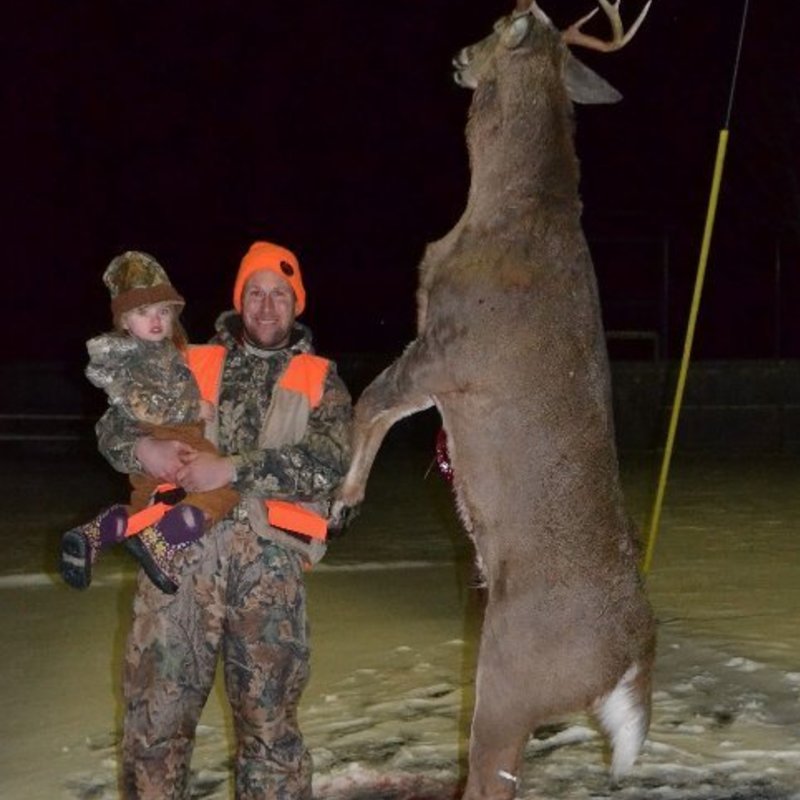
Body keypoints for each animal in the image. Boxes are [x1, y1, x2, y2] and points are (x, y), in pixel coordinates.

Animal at [331, 2, 656, 797]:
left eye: (503, 17)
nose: (455, 55)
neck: (504, 207)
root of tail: (630, 663)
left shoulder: (449, 346)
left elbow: (367, 402)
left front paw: (341, 504)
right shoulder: (437, 359)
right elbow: (382, 410)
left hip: (507, 677)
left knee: (485, 775)